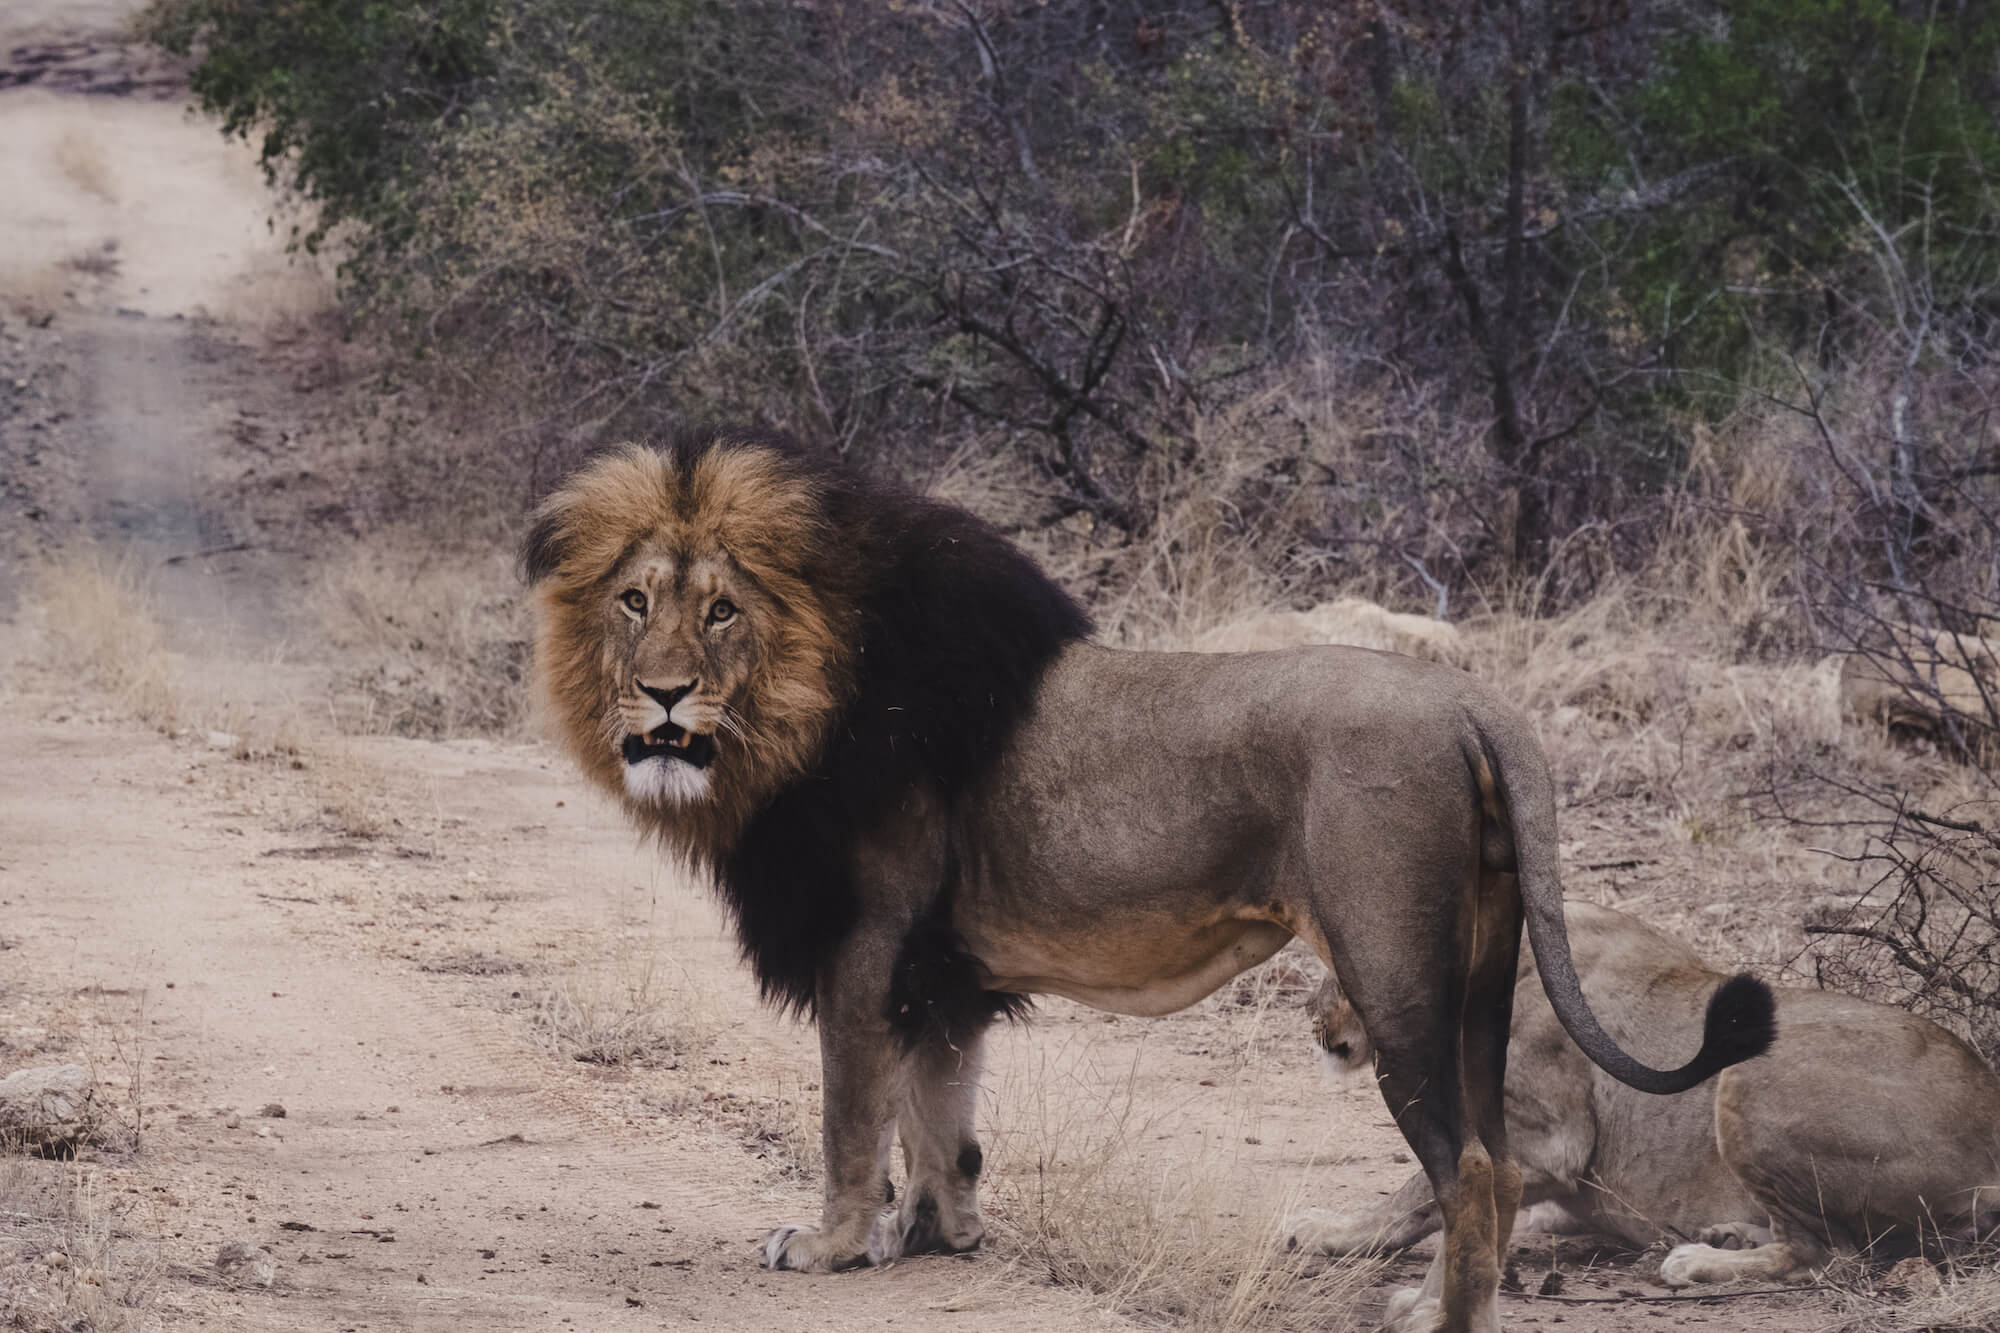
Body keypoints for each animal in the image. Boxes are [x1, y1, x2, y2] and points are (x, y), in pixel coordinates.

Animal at [1296, 896, 2000, 1280]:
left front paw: (1328, 1230)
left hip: (1748, 1074)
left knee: (1831, 1254)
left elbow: (1413, 1192)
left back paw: (1699, 1260)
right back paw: (1725, 1233)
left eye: (1335, 962)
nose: (1311, 1017)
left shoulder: (1547, 1141)